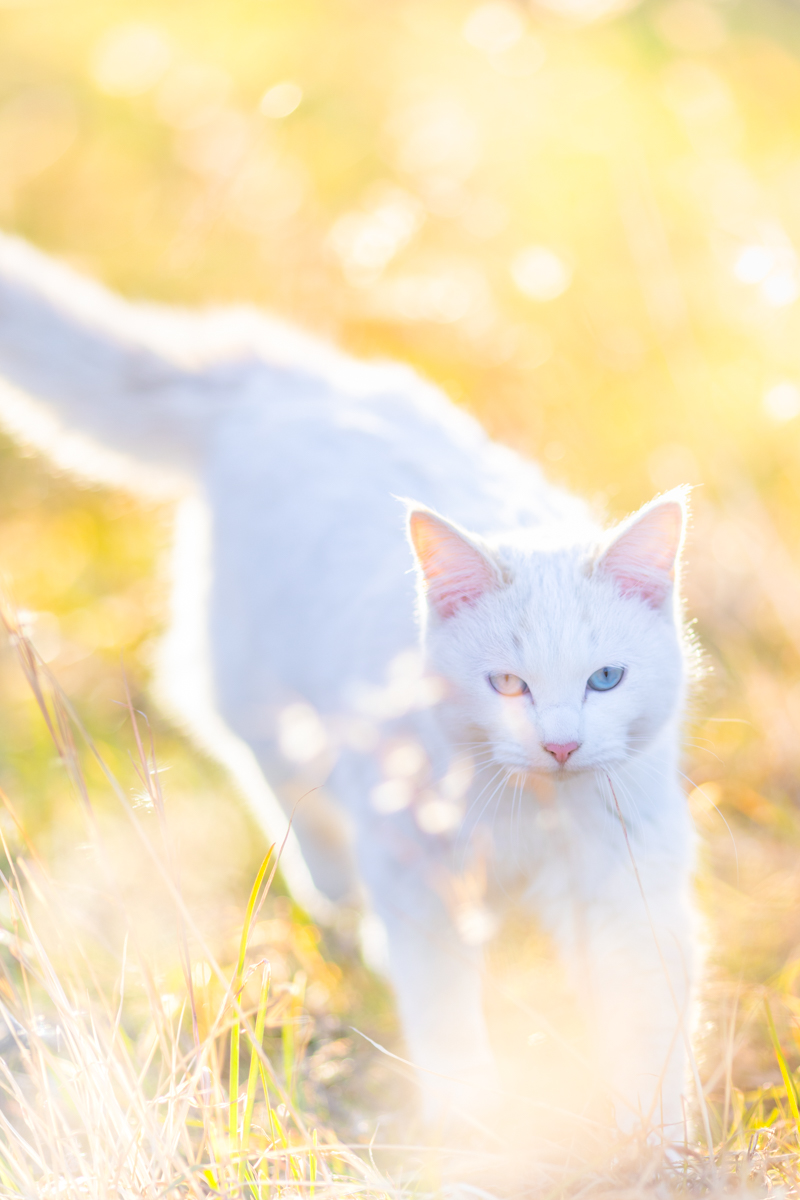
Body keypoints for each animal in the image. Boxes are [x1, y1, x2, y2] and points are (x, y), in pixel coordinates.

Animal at [0, 238, 695, 1137]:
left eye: (605, 679)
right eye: (507, 684)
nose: (561, 744)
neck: (528, 818)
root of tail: (282, 375)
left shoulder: (627, 889)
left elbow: (648, 1034)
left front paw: (658, 1145)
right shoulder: (418, 882)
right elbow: (447, 1023)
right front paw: (473, 1127)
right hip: (264, 701)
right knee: (282, 792)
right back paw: (339, 904)